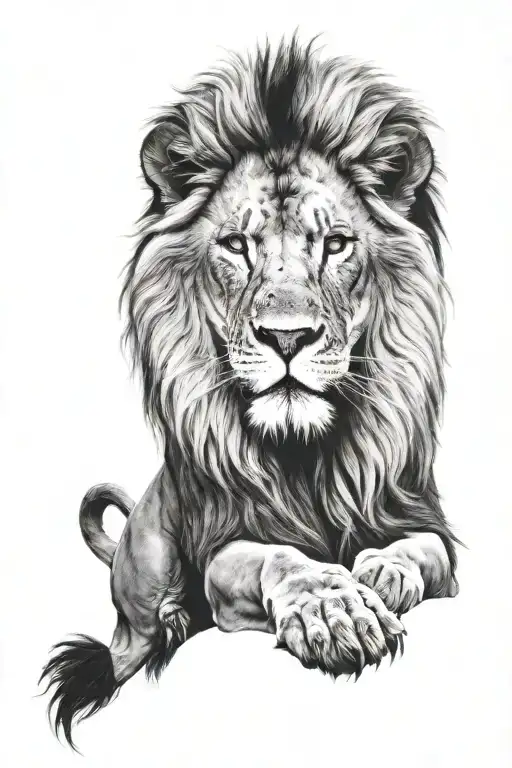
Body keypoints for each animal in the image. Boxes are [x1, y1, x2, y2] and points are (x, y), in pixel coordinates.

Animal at [40, 36, 460, 750]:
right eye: (237, 246)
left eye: (336, 244)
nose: (286, 337)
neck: (306, 454)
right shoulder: (225, 547)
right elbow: (281, 559)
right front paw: (335, 611)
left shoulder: (421, 523)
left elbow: (419, 551)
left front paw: (382, 574)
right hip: (139, 600)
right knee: (123, 652)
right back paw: (164, 631)